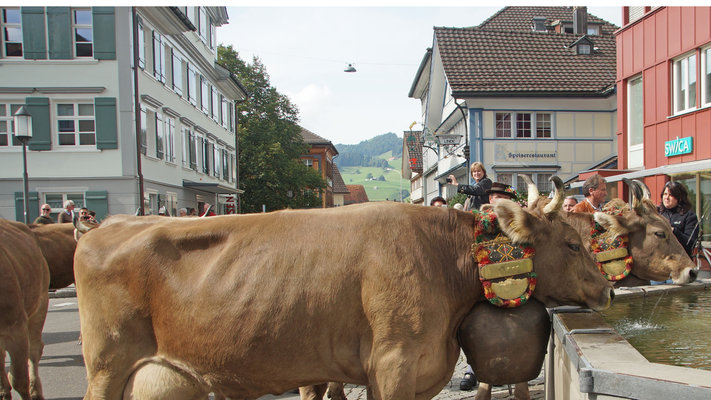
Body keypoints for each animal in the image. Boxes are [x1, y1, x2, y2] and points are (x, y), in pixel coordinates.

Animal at [75, 198, 616, 398]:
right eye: (572, 244)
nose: (609, 288)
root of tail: (107, 226)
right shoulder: (393, 362)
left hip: (168, 375)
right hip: (106, 365)